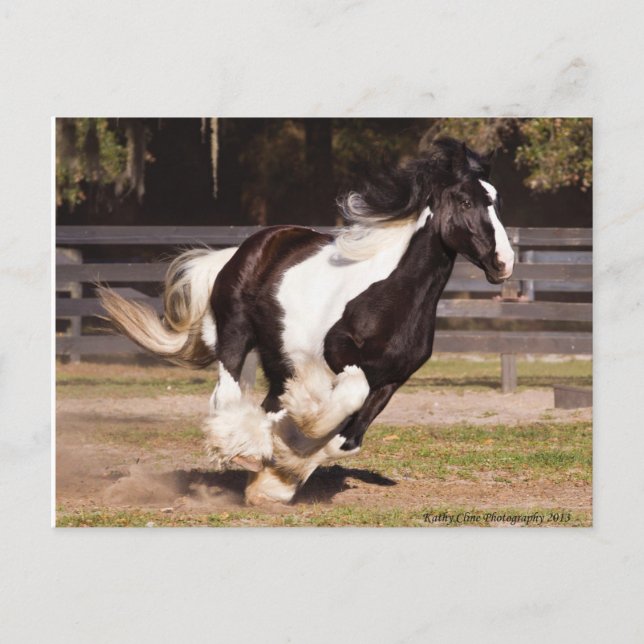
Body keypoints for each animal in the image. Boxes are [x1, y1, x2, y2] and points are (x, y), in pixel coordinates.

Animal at [99, 137, 514, 505]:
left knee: (266, 402)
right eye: (466, 201)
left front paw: (278, 477)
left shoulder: (393, 380)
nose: (503, 263)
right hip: (236, 336)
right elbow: (347, 397)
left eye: (497, 202)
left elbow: (346, 442)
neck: (391, 297)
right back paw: (244, 450)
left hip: (278, 357)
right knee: (226, 394)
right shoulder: (337, 353)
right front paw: (295, 436)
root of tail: (244, 249)